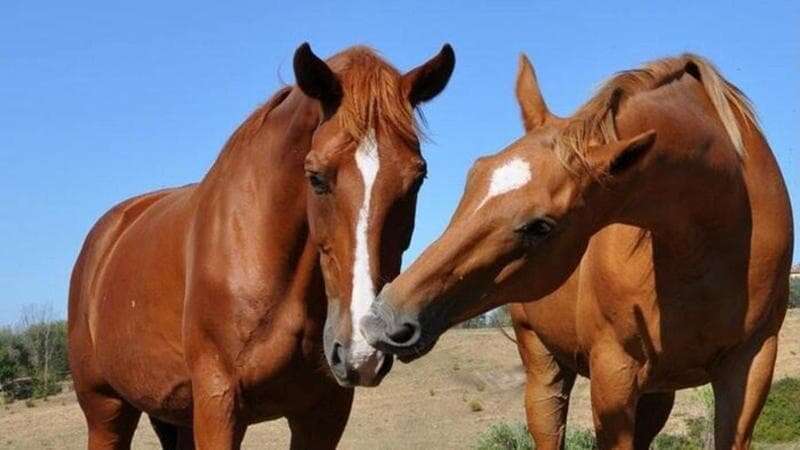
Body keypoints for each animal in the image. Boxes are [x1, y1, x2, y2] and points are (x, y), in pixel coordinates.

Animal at [66, 43, 454, 450]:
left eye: (418, 178)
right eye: (316, 177)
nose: (362, 349)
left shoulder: (323, 413)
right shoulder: (219, 405)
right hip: (107, 411)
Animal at [364, 53, 792, 450]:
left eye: (540, 226)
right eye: (476, 174)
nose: (383, 319)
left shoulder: (750, 366)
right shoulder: (613, 373)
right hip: (544, 369)